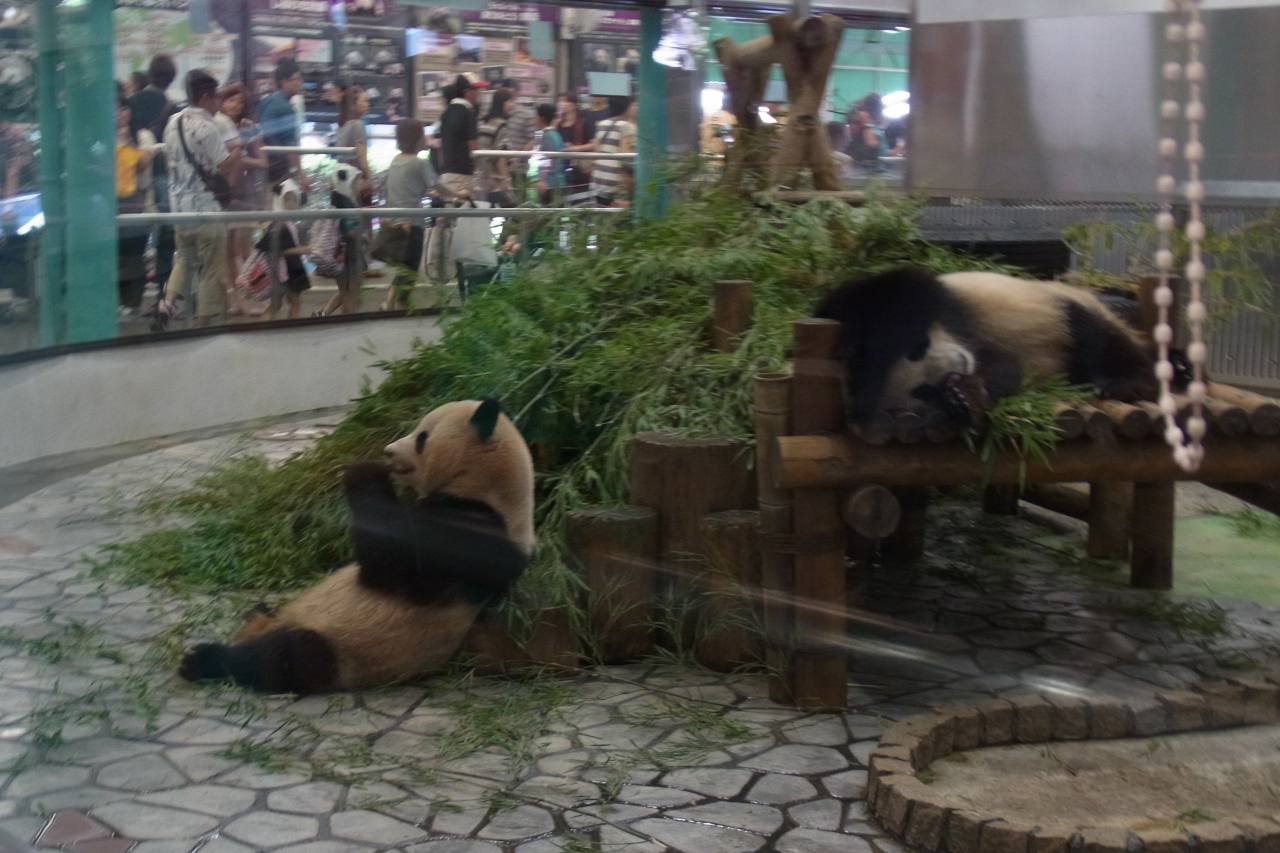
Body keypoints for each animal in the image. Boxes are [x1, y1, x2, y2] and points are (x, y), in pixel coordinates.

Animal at [177, 399, 532, 691]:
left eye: (422, 437)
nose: (389, 451)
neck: (487, 491)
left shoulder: (477, 530)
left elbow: (392, 566)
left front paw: (365, 469)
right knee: (268, 619)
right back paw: (255, 616)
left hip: (343, 652)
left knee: (283, 657)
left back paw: (203, 661)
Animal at [814, 267, 1167, 422]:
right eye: (922, 391)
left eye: (918, 347)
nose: (957, 364)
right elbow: (1008, 367)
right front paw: (960, 396)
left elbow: (903, 292)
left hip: (1062, 308)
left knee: (1097, 340)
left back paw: (1123, 383)